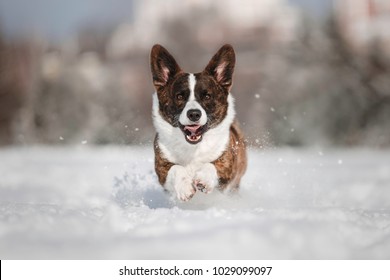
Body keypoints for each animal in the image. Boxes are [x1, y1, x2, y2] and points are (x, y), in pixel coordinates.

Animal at [150, 44, 247, 201]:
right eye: (179, 96)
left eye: (207, 96)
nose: (194, 114)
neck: (193, 148)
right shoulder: (162, 168)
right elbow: (176, 168)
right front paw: (185, 188)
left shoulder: (227, 165)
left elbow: (212, 165)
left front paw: (204, 180)